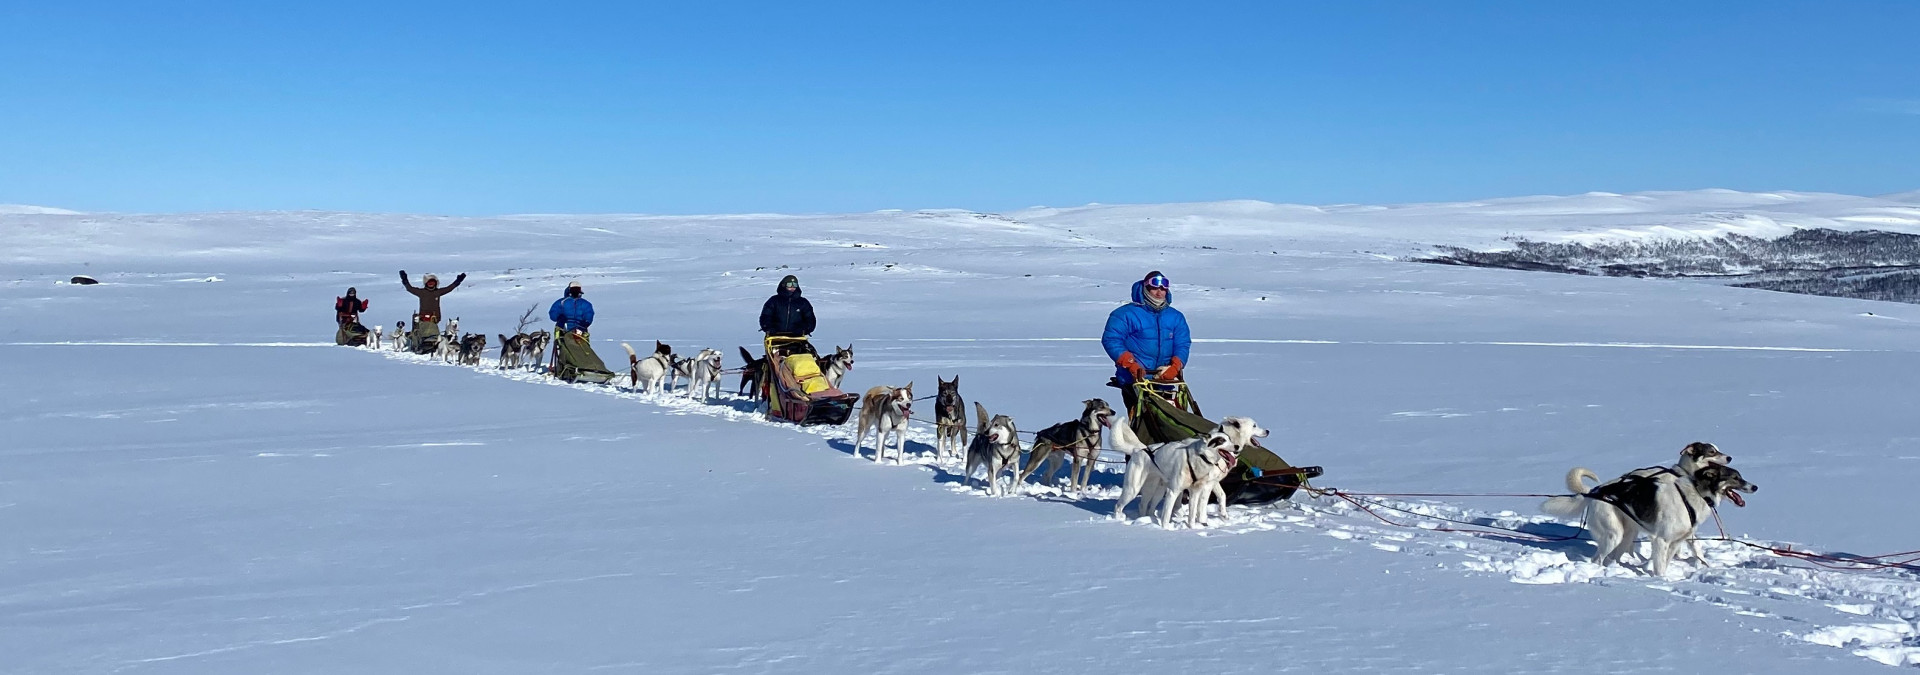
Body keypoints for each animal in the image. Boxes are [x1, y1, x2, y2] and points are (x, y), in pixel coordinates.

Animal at [1113, 414, 1259, 529]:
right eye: (1221, 440)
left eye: (1229, 439)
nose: (1236, 447)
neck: (1200, 457)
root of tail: (1139, 449)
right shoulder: (1174, 492)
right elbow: (1167, 515)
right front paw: (1165, 529)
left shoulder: (1195, 492)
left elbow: (1193, 513)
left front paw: (1193, 528)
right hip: (1133, 489)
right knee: (1119, 506)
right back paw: (1118, 520)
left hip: (1156, 490)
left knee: (1145, 506)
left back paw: (1144, 520)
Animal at [1543, 462, 1758, 579]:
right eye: (1735, 477)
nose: (1755, 486)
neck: (1695, 494)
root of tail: (1595, 492)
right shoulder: (1661, 541)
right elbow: (1660, 566)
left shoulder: (1675, 543)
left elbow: (1665, 563)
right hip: (1614, 535)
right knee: (1598, 559)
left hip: (1627, 536)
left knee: (1612, 558)